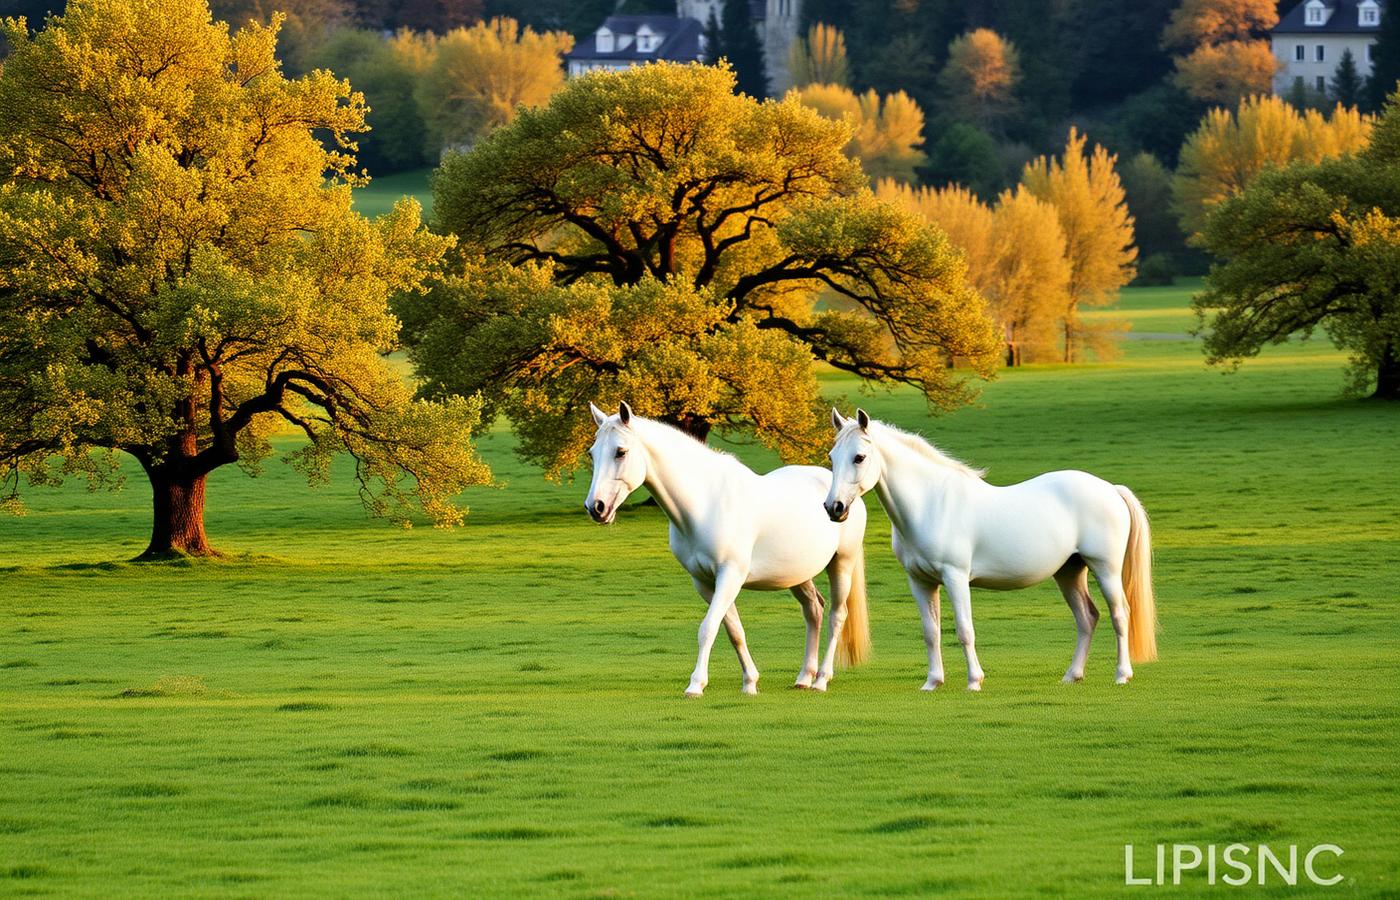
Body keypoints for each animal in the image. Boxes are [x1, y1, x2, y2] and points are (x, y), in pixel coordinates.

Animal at [584, 402, 871, 697]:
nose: (596, 507)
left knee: (837, 616)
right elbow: (734, 631)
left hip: (842, 564)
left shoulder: (730, 575)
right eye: (592, 453)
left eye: (620, 452)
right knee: (814, 610)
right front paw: (750, 683)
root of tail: (843, 496)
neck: (705, 504)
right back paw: (804, 677)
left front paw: (696, 685)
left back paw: (821, 679)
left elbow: (708, 628)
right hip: (797, 575)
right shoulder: (705, 582)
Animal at [823, 408, 1157, 691]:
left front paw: (974, 681)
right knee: (1087, 617)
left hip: (1106, 568)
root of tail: (1111, 489)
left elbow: (964, 630)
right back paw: (1072, 675)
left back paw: (1122, 674)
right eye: (832, 456)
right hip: (1069, 572)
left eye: (859, 457)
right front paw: (932, 682)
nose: (833, 507)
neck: (931, 504)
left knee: (1120, 614)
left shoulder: (956, 577)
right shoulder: (920, 582)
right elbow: (931, 632)